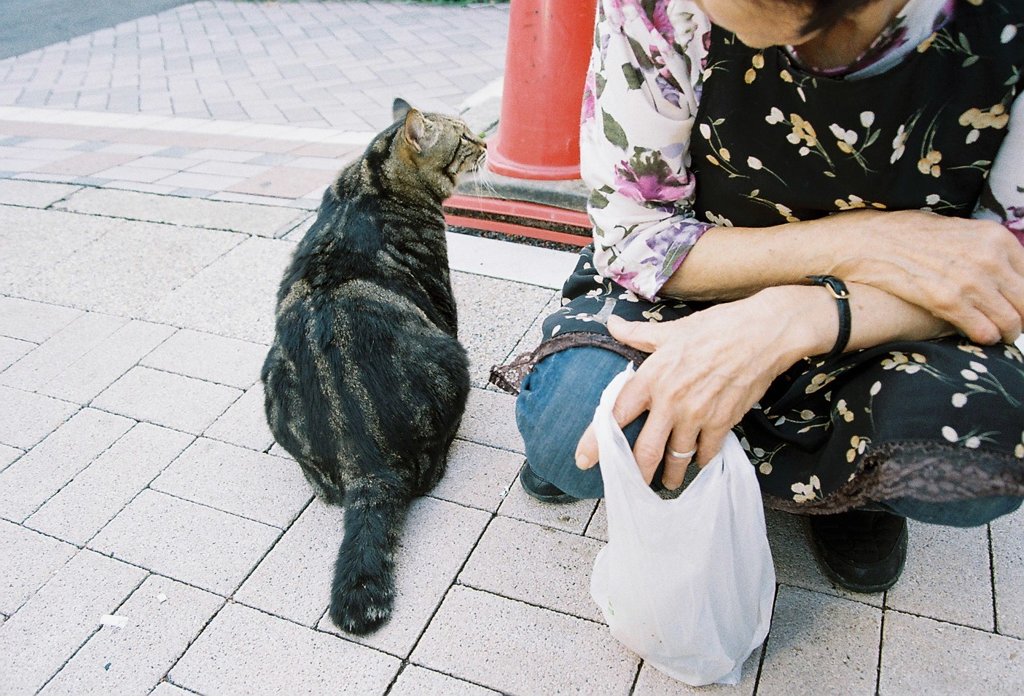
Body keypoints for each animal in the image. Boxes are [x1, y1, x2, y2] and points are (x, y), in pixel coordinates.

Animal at [260, 99, 483, 634]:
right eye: (465, 138)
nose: (487, 142)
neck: (370, 181)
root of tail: (368, 465)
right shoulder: (443, 303)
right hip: (453, 360)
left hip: (272, 380)